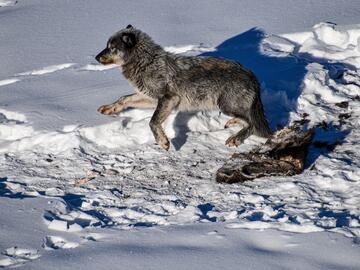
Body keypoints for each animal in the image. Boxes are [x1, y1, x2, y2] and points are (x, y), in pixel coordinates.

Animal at [95, 25, 270, 151]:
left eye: (111, 47)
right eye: (106, 46)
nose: (96, 57)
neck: (146, 63)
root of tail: (251, 74)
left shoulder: (168, 98)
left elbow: (152, 122)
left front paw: (163, 142)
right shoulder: (150, 98)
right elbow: (123, 99)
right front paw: (110, 108)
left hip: (225, 106)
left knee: (251, 124)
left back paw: (235, 138)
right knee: (247, 121)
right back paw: (233, 124)